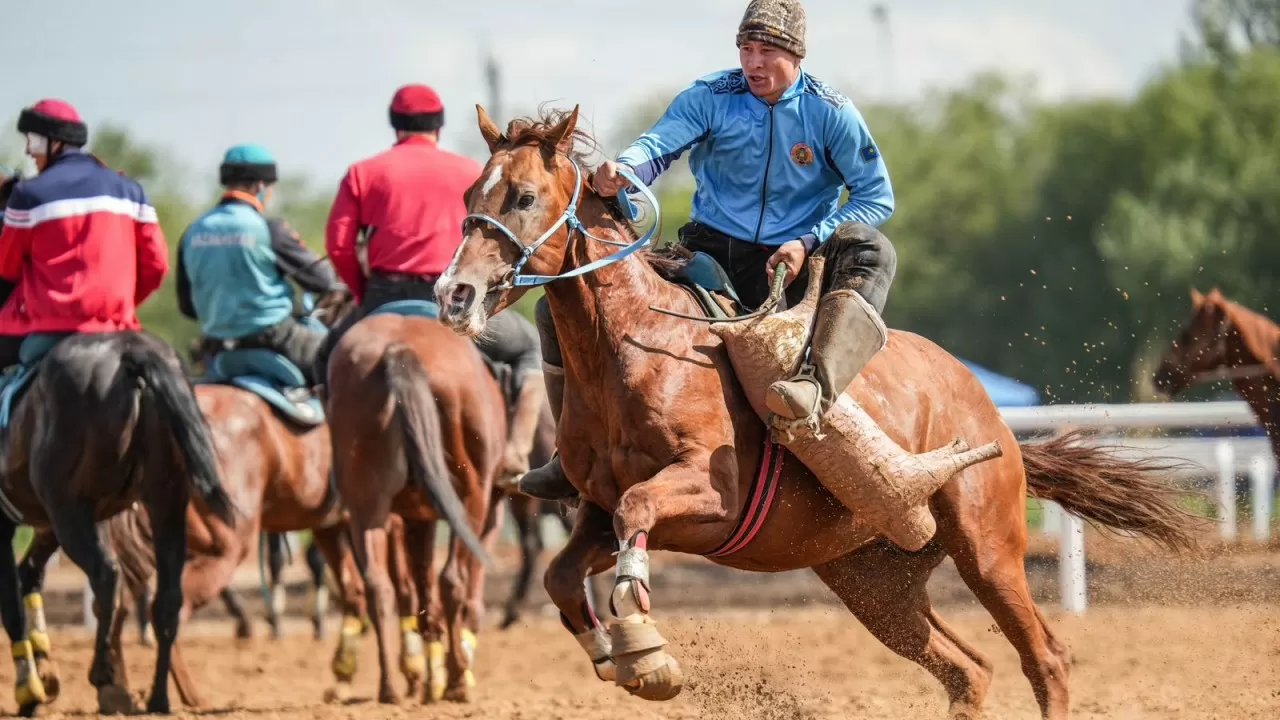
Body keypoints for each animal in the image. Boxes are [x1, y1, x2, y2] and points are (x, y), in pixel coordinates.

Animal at [0, 330, 234, 712]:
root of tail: (132, 351)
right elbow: (28, 578)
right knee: (167, 598)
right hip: (166, 502)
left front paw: (30, 689)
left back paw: (102, 671)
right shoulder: (49, 525)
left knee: (106, 574)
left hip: (69, 510)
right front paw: (44, 675)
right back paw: (157, 697)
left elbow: (12, 600)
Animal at [435, 106, 1203, 717]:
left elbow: (638, 511)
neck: (639, 349)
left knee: (1045, 658)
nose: (454, 293)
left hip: (988, 551)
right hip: (877, 587)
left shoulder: (710, 493)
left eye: (524, 195)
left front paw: (644, 640)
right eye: (470, 192)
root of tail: (995, 423)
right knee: (969, 671)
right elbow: (564, 574)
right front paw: (626, 660)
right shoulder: (592, 507)